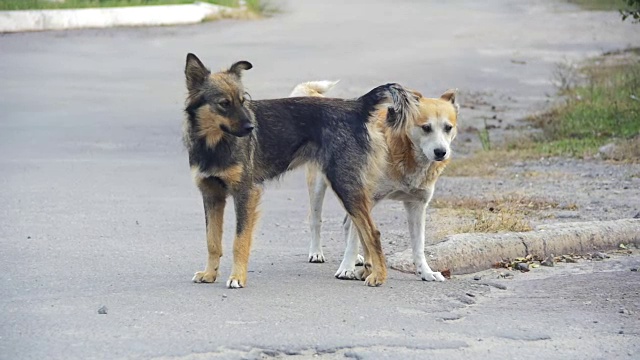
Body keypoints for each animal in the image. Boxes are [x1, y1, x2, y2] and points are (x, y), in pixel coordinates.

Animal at [184, 53, 420, 288]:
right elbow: (212, 241)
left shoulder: (245, 194)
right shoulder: (211, 196)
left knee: (373, 232)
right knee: (362, 229)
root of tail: (356, 107)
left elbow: (239, 241)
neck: (213, 144)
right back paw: (368, 270)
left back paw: (379, 275)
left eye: (243, 101)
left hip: (344, 185)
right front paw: (209, 274)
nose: (251, 128)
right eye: (224, 104)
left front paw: (237, 277)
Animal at [292, 81, 458, 282]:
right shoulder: (366, 199)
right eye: (426, 127)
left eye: (448, 127)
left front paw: (425, 272)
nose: (441, 152)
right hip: (322, 186)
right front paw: (346, 268)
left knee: (348, 222)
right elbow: (356, 237)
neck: (403, 151)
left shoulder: (417, 205)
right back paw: (317, 252)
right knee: (316, 220)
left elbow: (418, 245)